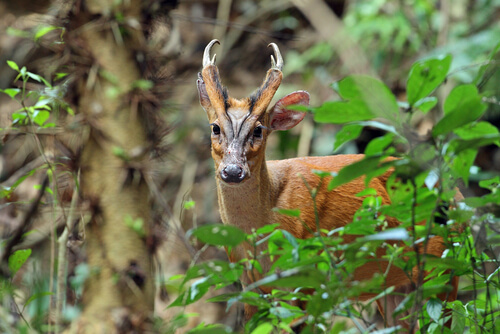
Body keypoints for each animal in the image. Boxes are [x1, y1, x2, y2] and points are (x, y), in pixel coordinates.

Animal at [194, 39, 458, 332]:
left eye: (259, 130)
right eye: (215, 127)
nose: (232, 171)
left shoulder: (308, 275)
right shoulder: (250, 285)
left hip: (443, 263)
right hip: (394, 286)